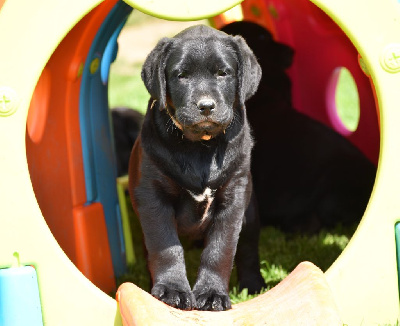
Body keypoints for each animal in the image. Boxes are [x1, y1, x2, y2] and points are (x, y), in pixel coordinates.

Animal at [129, 25, 266, 310]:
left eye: (223, 73)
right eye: (181, 75)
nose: (205, 106)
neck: (201, 147)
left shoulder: (234, 199)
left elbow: (221, 249)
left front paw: (212, 293)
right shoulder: (152, 196)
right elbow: (166, 246)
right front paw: (171, 290)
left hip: (250, 213)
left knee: (248, 247)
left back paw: (252, 284)